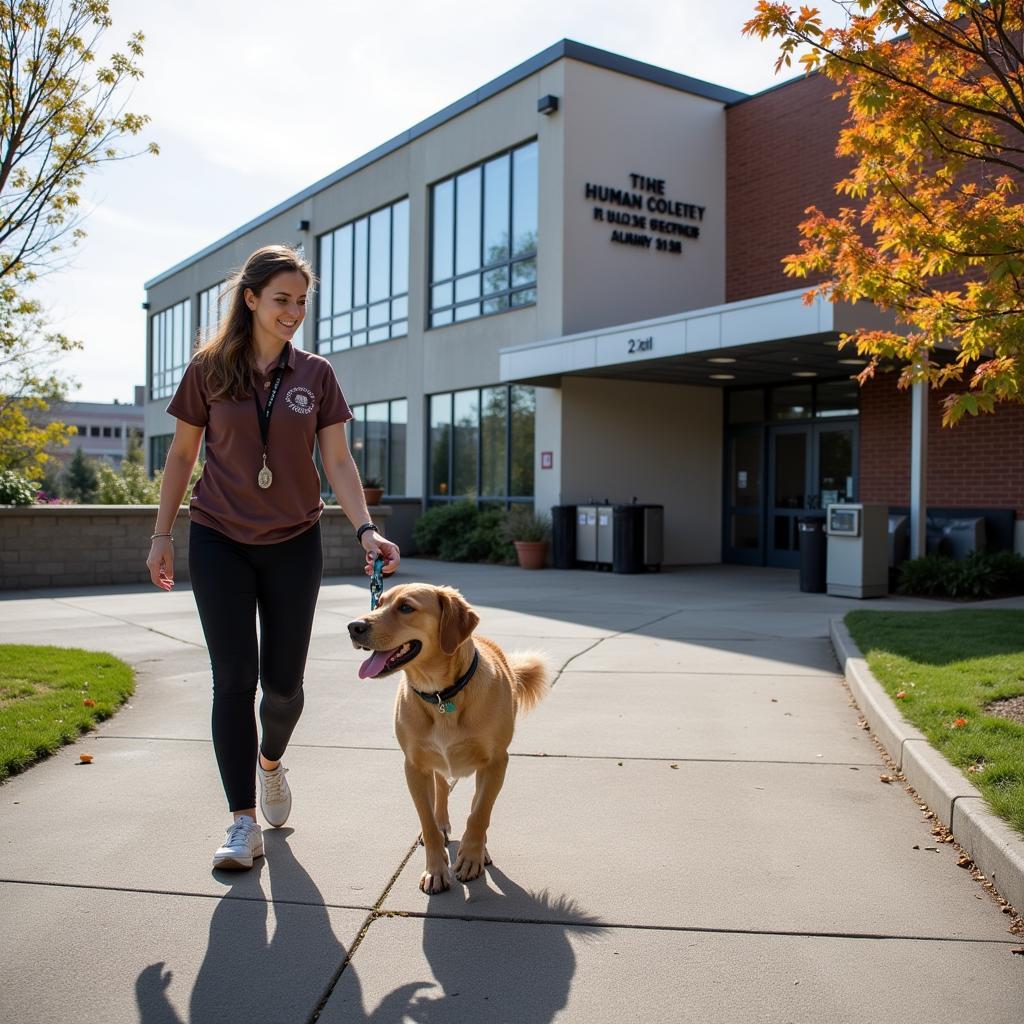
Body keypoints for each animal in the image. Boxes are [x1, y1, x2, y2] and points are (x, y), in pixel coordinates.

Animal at [346, 589, 552, 892]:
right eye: (379, 602)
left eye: (406, 607)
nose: (354, 627)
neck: (441, 694)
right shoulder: (414, 767)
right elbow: (428, 821)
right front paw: (435, 868)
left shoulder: (496, 763)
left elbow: (479, 814)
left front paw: (471, 856)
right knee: (441, 790)